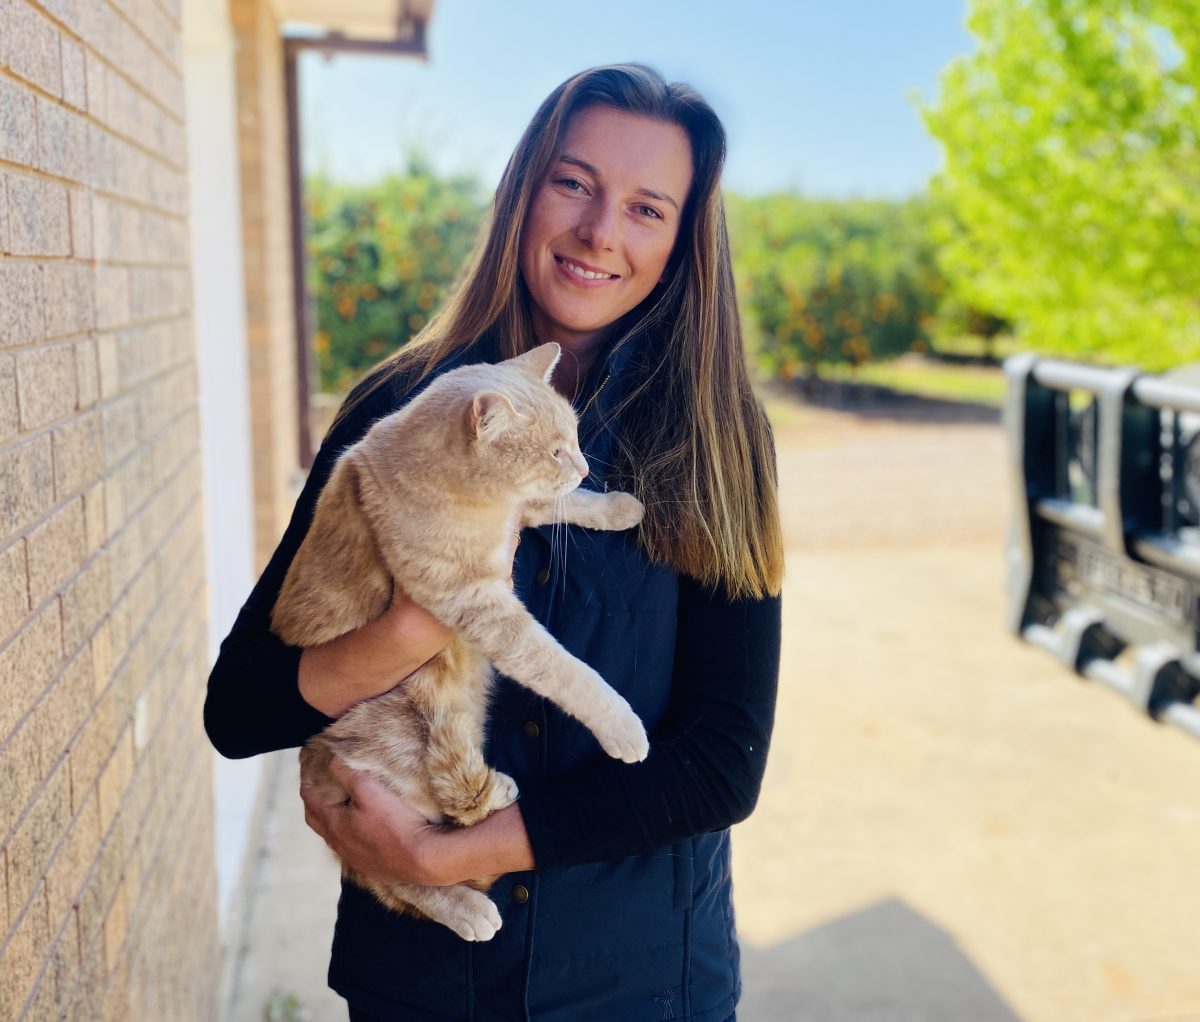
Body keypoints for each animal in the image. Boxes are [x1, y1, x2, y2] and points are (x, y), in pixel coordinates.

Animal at [271, 340, 652, 940]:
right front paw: (621, 725)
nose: (585, 464)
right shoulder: (479, 603)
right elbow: (563, 669)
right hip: (409, 727)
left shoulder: (519, 516)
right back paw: (471, 899)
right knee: (403, 863)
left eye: (574, 440)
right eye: (555, 452)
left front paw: (619, 506)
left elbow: (570, 504)